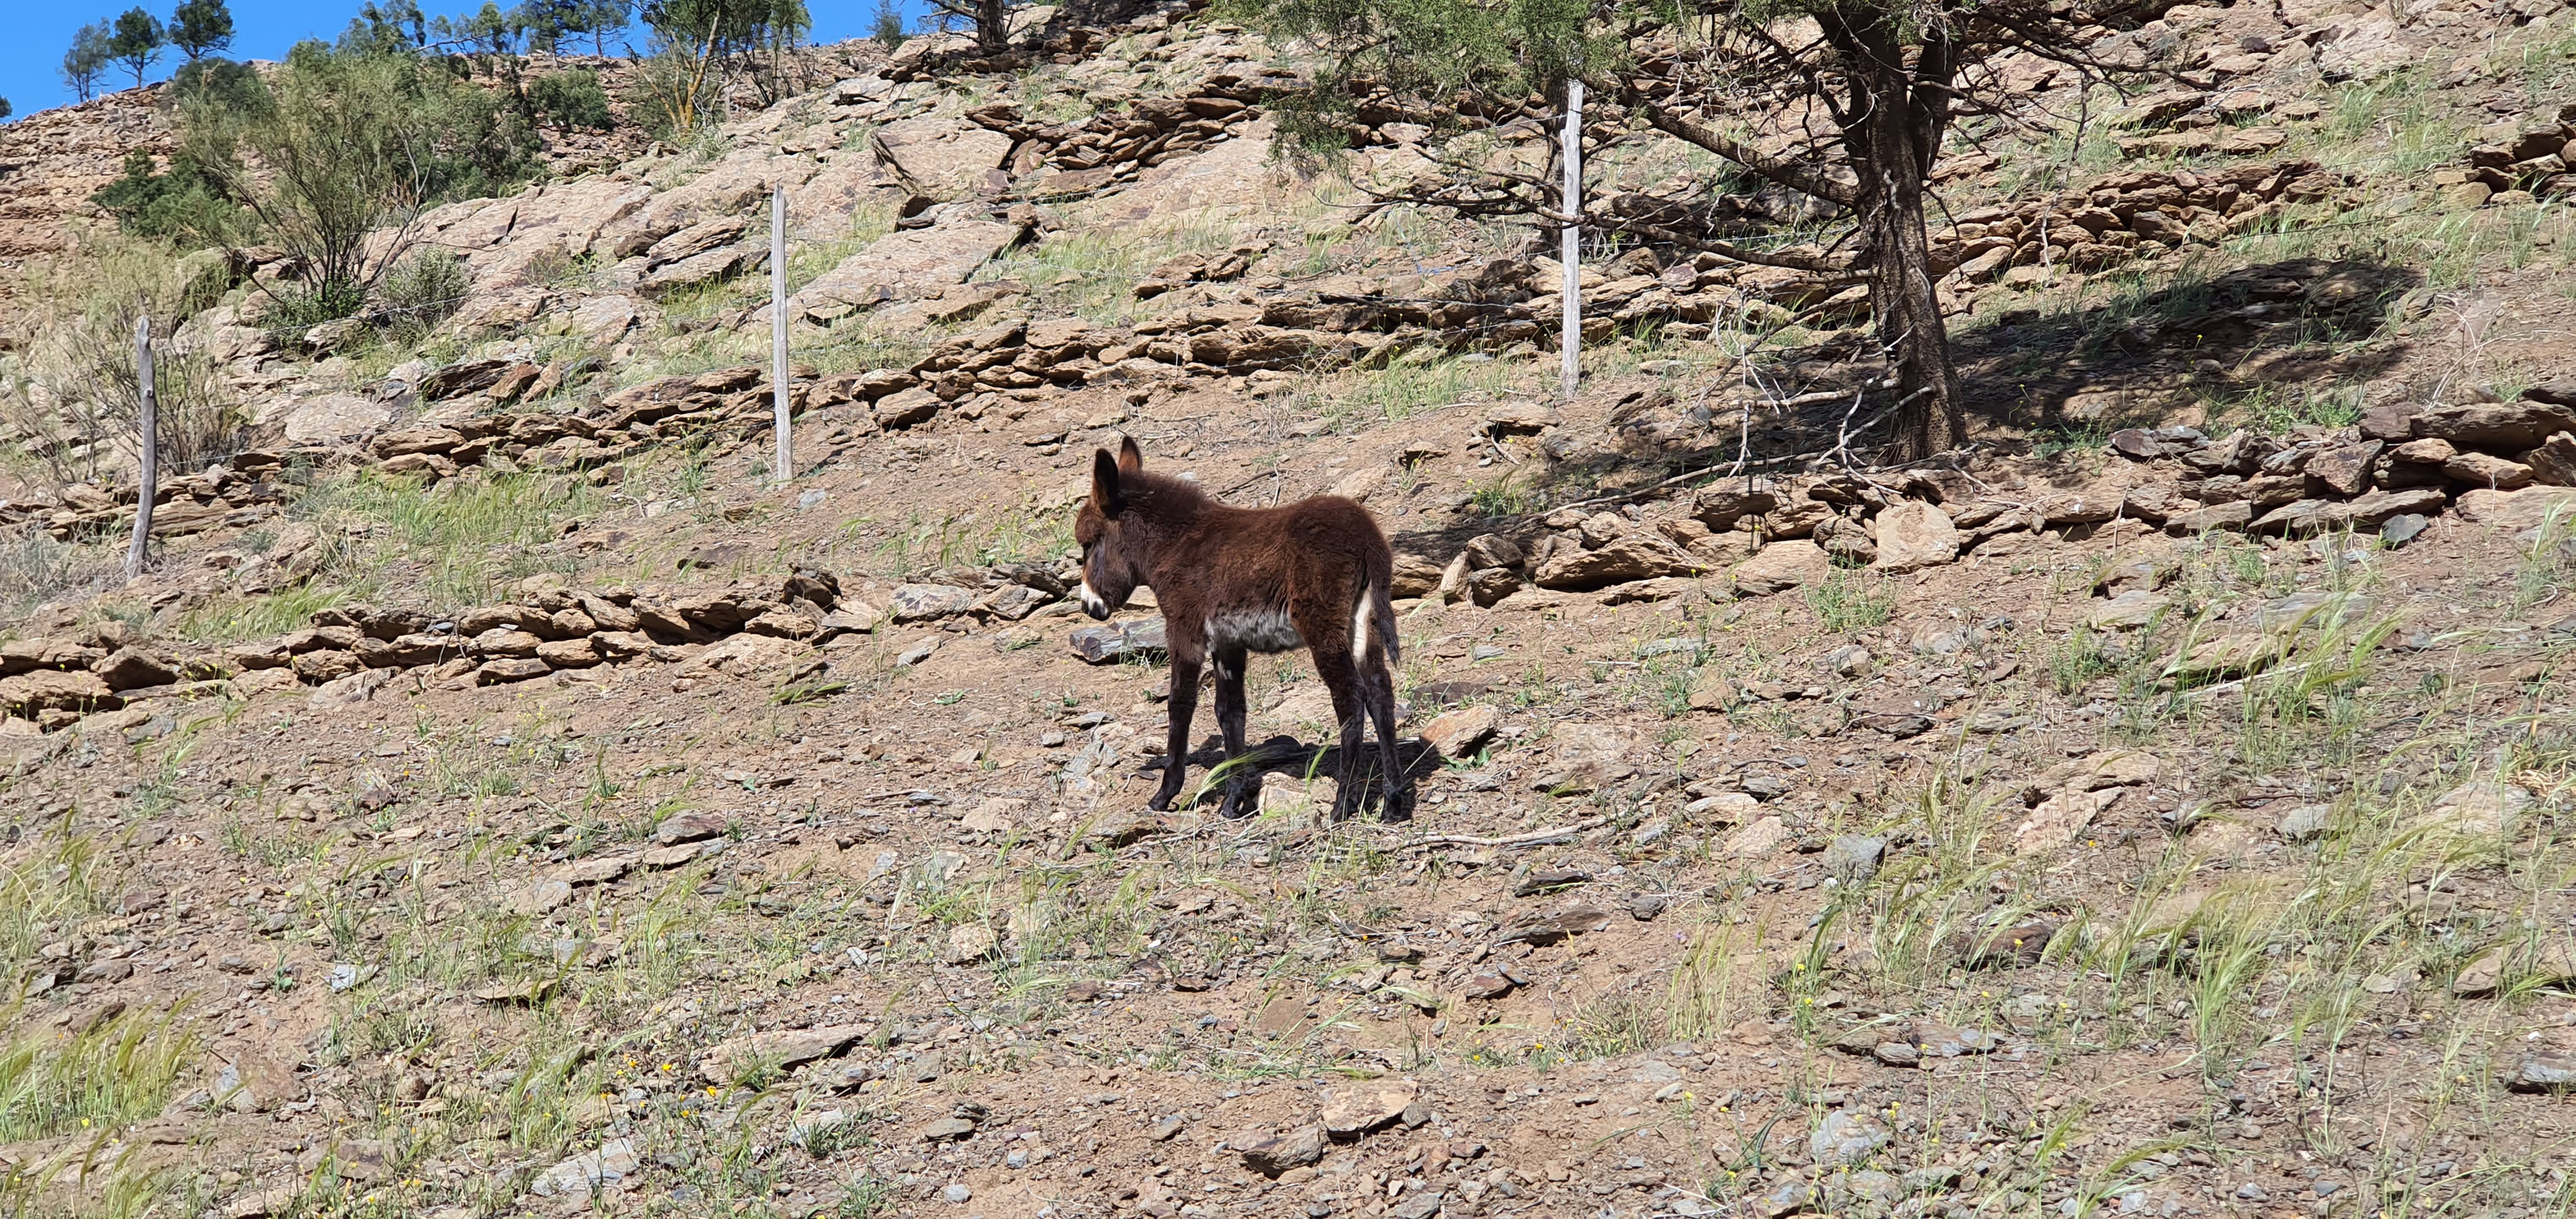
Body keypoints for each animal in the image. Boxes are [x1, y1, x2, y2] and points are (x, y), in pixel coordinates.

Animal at [1075, 437, 1412, 821]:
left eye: (1088, 544)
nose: (1089, 606)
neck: (1175, 545)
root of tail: (1367, 535)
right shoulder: (1228, 643)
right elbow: (1230, 712)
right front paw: (1232, 799)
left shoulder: (1184, 630)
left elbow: (1180, 703)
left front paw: (1165, 794)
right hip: (1362, 621)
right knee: (1379, 692)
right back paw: (1393, 803)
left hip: (1322, 626)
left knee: (1351, 697)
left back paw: (1342, 805)